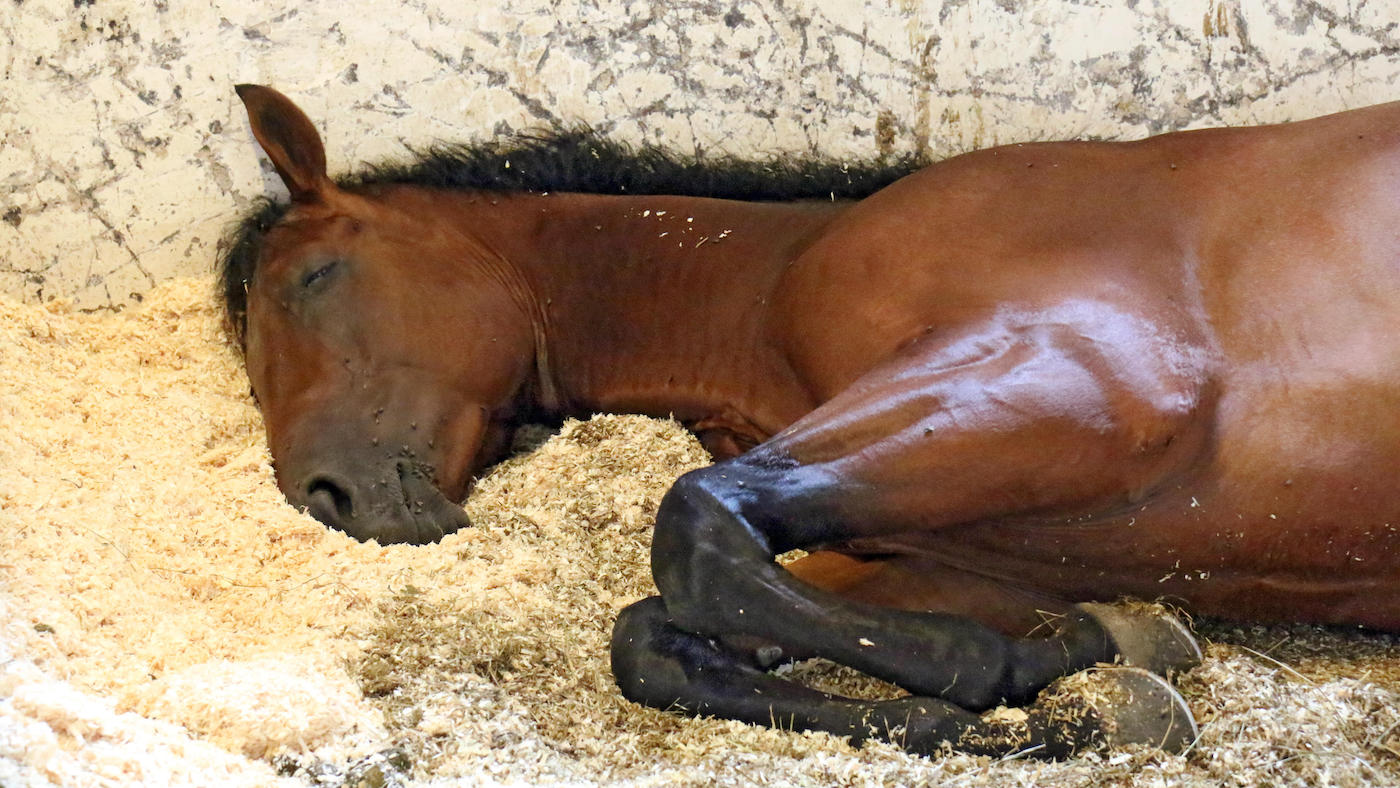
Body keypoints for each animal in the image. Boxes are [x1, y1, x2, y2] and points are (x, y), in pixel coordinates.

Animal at [223, 84, 1400, 758]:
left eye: (315, 276)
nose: (324, 498)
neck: (774, 285)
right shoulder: (976, 554)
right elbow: (651, 635)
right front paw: (1076, 676)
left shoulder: (1087, 386)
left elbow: (695, 532)